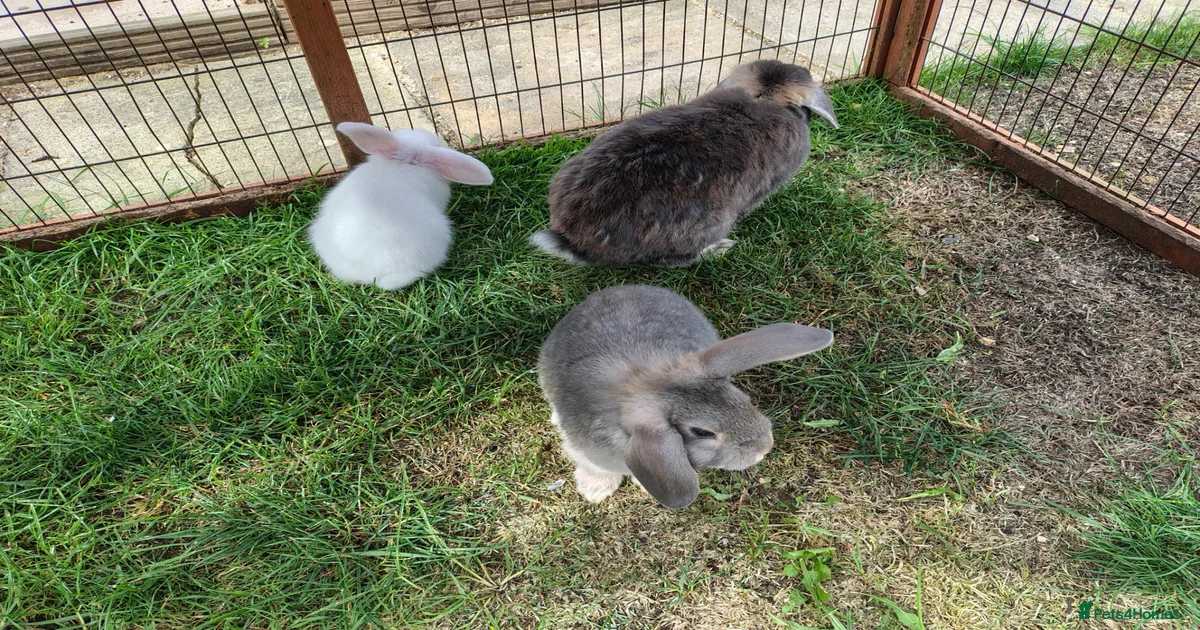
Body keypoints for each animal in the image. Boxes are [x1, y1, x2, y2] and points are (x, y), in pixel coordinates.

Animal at [538, 284, 834, 508]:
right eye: (702, 432)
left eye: (742, 398)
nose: (764, 448)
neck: (644, 382)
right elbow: (596, 468)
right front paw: (594, 492)